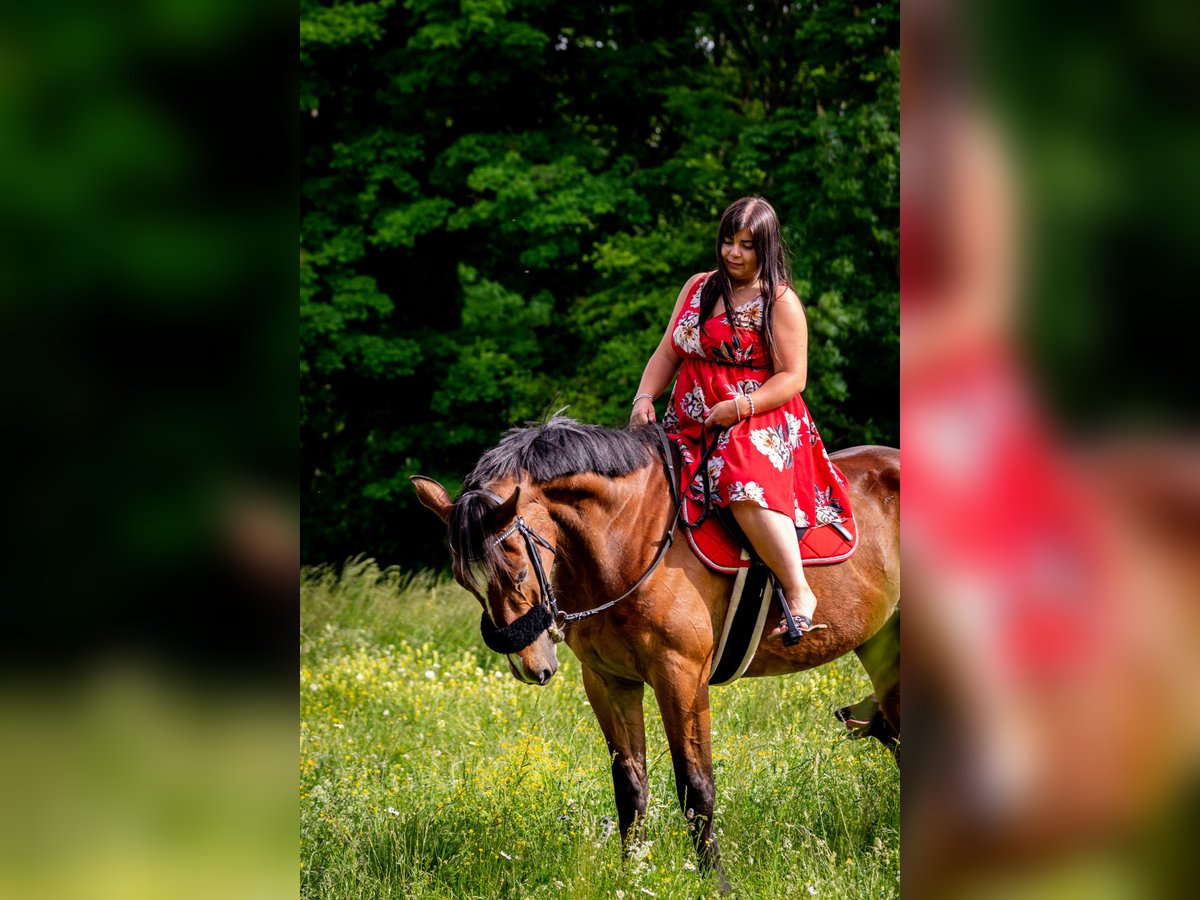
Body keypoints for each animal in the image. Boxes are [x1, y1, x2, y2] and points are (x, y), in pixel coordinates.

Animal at [412, 420, 902, 892]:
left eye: (515, 572)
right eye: (464, 581)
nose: (530, 666)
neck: (628, 541)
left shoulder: (681, 676)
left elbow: (695, 785)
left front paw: (715, 881)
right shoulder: (609, 682)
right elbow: (629, 786)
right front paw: (632, 873)